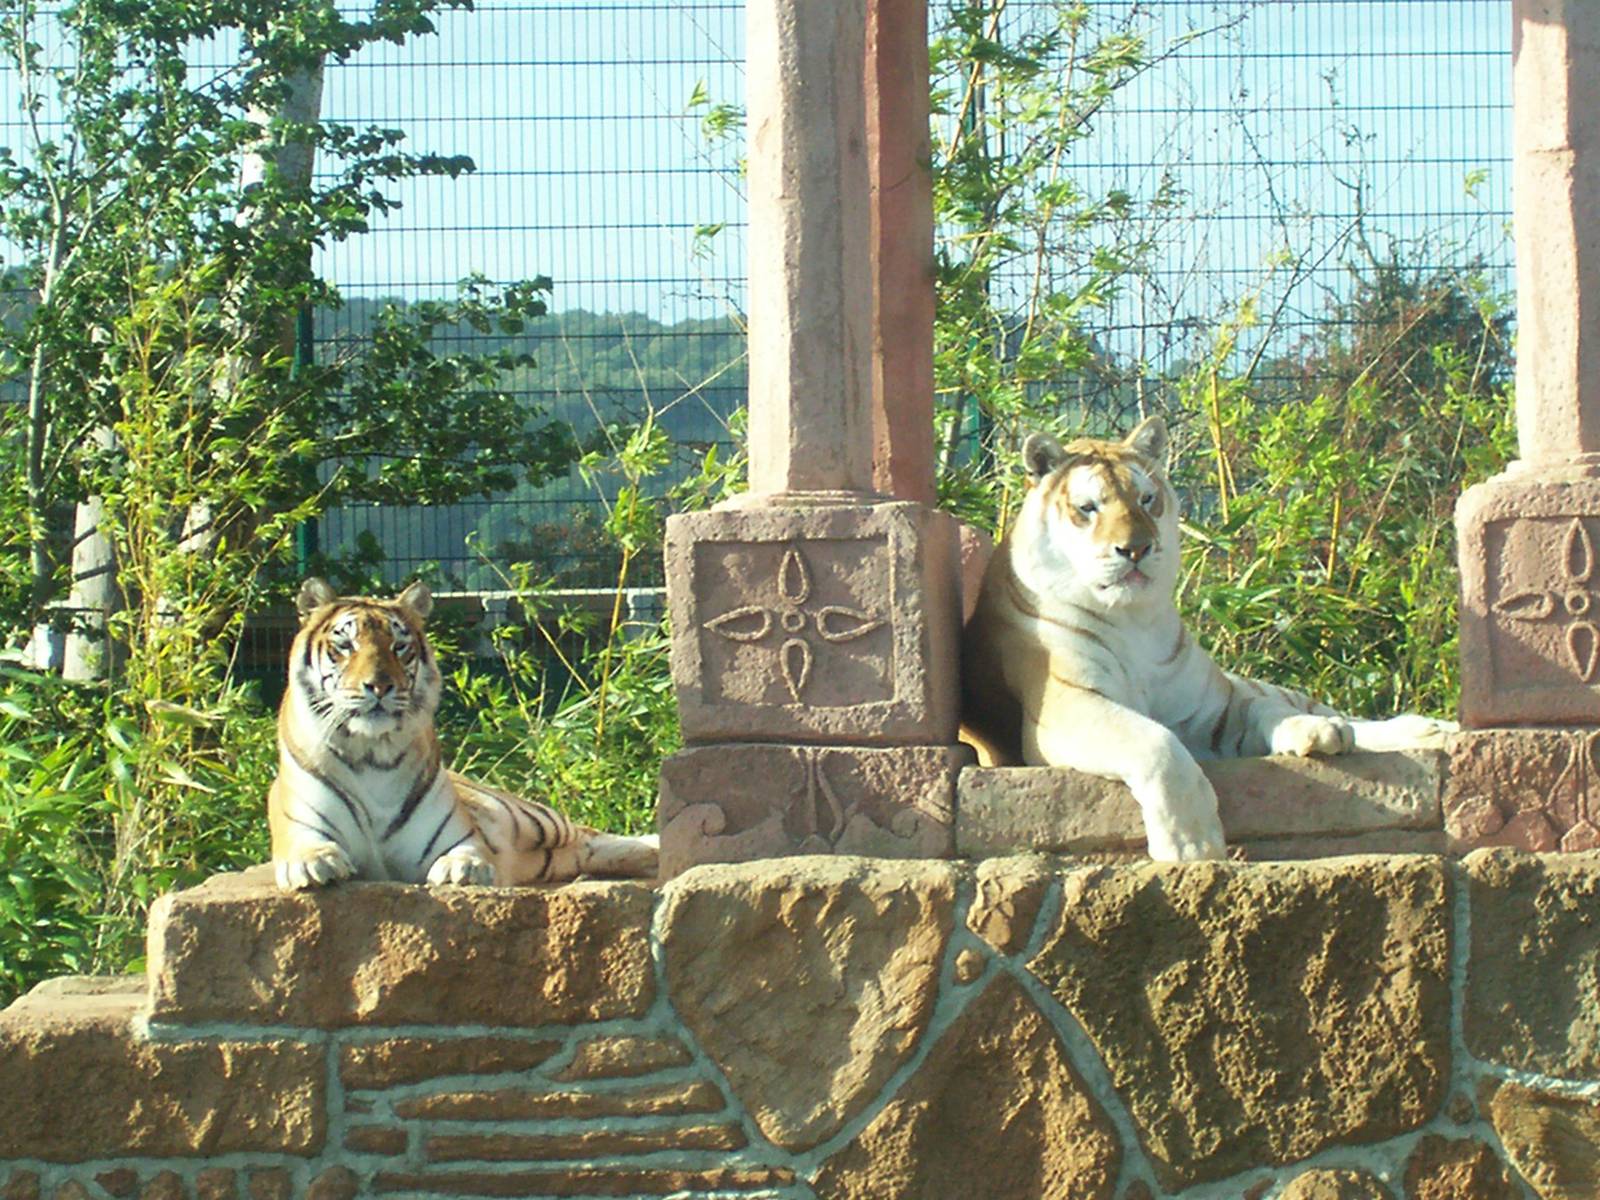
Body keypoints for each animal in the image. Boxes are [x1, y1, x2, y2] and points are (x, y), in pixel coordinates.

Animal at [267, 577, 658, 890]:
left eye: (399, 646)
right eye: (346, 645)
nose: (379, 686)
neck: (372, 754)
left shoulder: (458, 835)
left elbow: (467, 852)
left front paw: (464, 869)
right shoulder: (300, 824)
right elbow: (306, 846)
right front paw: (315, 862)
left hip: (535, 819)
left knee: (592, 835)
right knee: (588, 848)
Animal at [960, 415, 1455, 863]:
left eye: (1147, 499)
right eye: (1088, 507)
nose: (1136, 548)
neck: (1134, 620)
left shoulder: (1212, 708)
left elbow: (1263, 712)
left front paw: (1312, 732)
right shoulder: (1068, 707)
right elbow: (1157, 742)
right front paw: (1192, 845)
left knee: (1325, 709)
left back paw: (1419, 730)